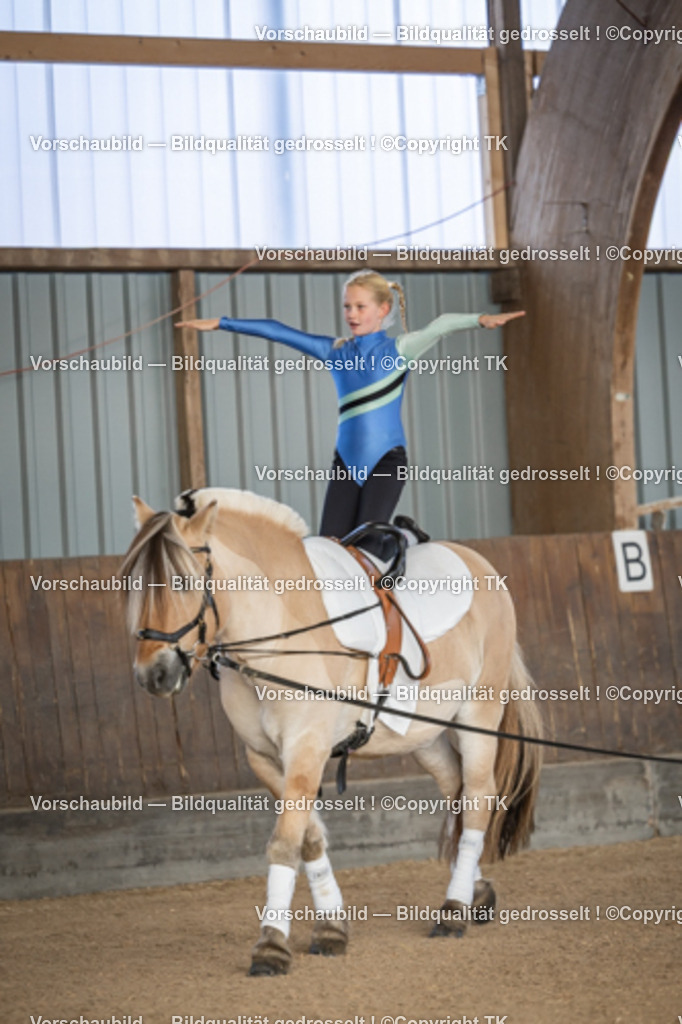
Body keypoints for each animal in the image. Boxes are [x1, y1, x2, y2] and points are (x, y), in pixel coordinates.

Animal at [119, 487, 543, 976]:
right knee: (455, 789)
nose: (153, 675)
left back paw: (453, 910)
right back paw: (475, 891)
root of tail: (479, 562)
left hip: (478, 715)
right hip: (424, 734)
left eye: (184, 583)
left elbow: (284, 843)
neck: (276, 636)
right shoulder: (265, 757)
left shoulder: (307, 747)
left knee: (477, 796)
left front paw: (271, 947)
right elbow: (308, 840)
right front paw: (331, 929)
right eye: (133, 583)